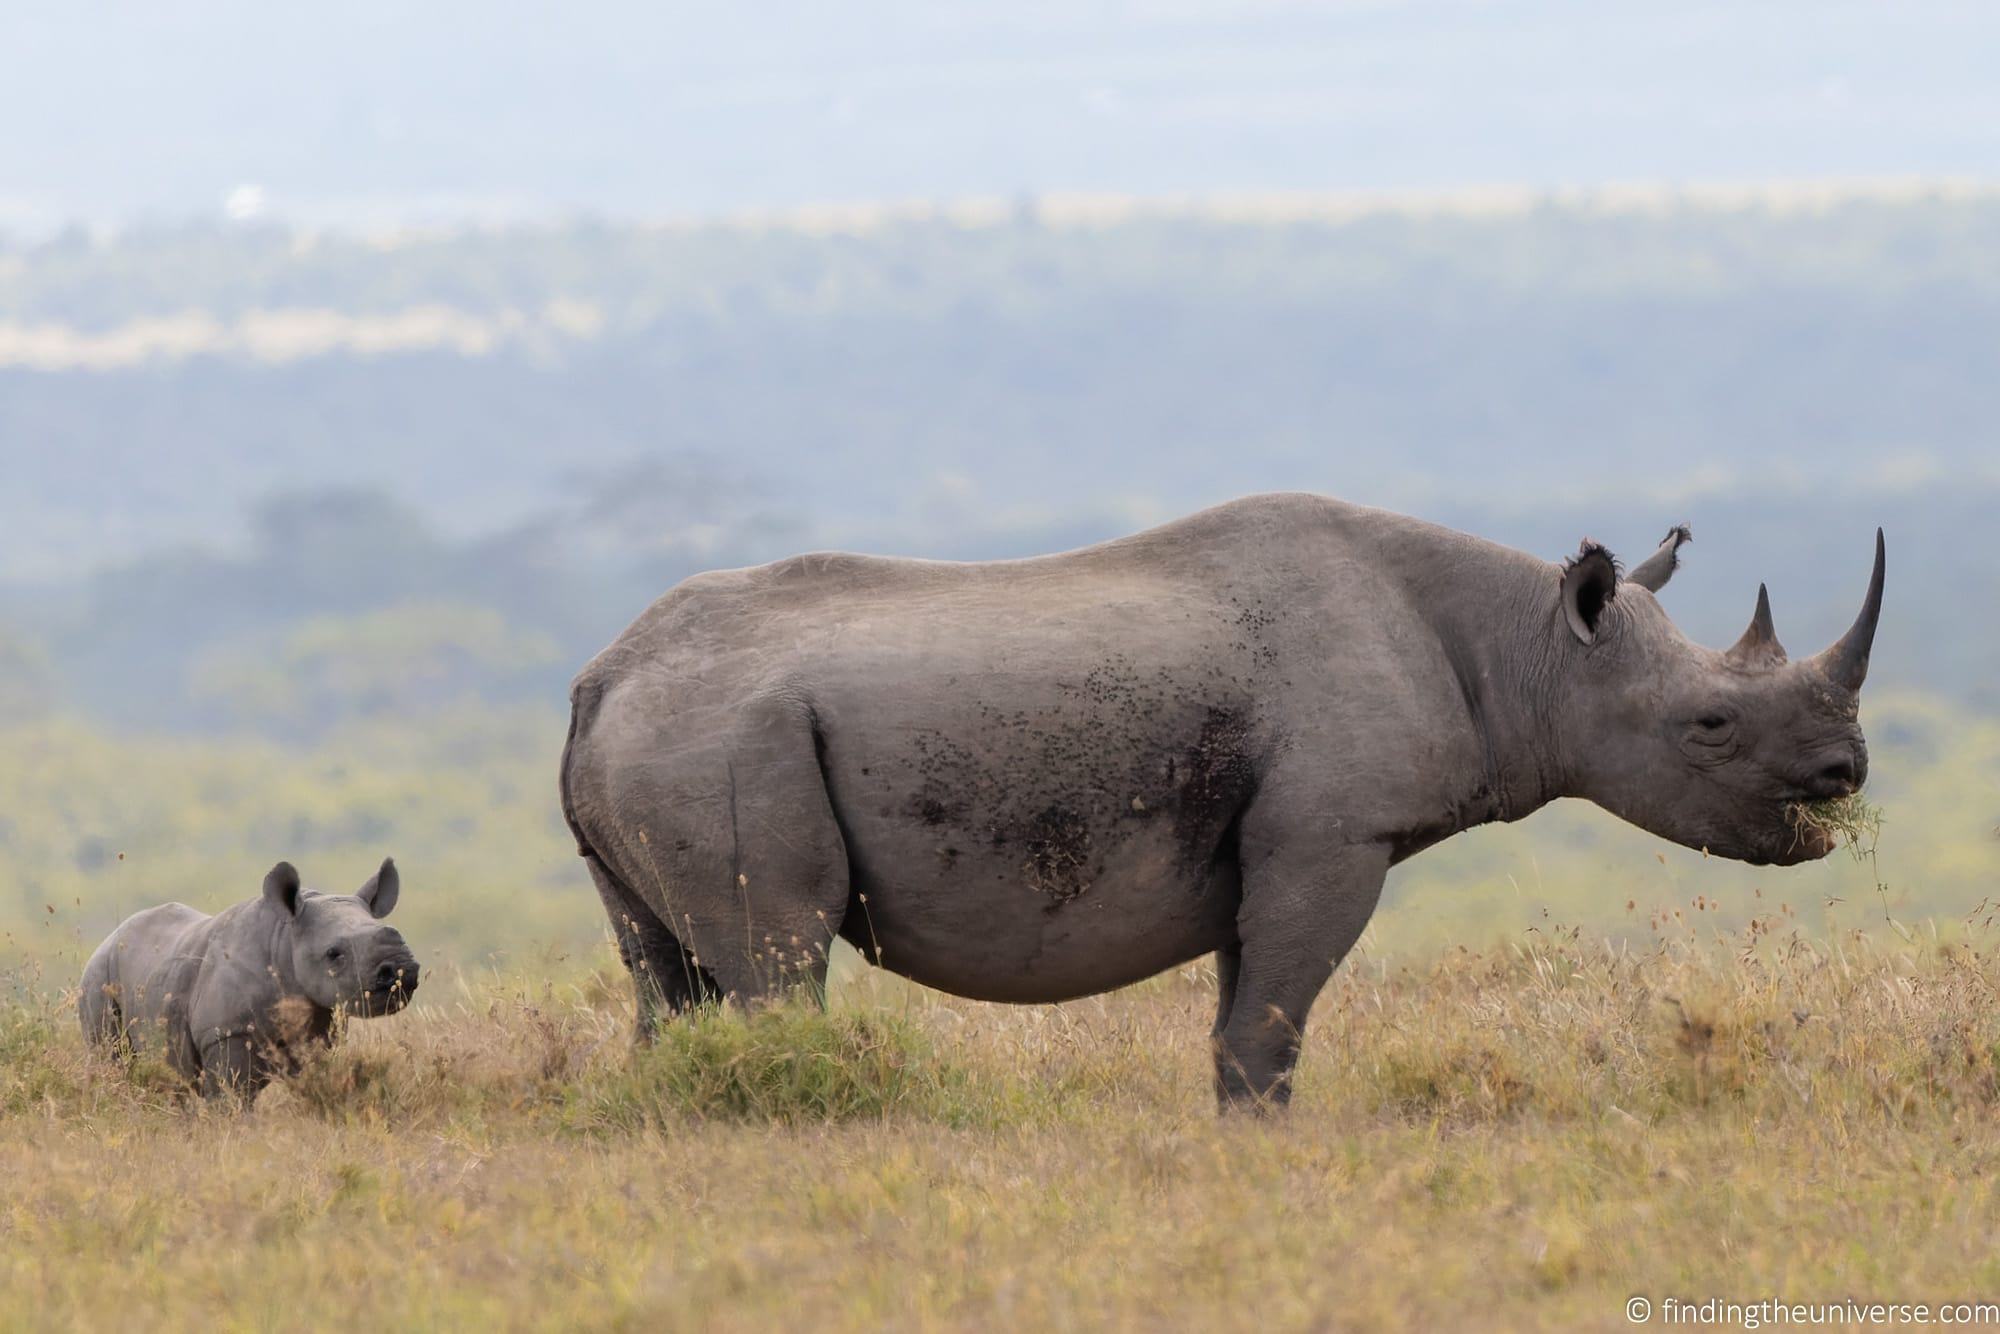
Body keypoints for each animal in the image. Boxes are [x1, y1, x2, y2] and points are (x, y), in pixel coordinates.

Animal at [79, 859, 419, 1101]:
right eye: (334, 954)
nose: (402, 970)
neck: (285, 938)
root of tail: (106, 940)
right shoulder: (226, 1032)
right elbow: (233, 1097)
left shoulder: (320, 1030)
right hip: (98, 977)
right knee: (113, 1057)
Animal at [560, 493, 1884, 1107]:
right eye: (1708, 726)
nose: (1846, 777)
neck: (1531, 649)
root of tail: (598, 675)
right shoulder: (1334, 834)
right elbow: (1271, 1019)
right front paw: (1261, 1149)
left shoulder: (1273, 839)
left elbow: (1243, 1006)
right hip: (721, 735)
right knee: (777, 960)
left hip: (670, 731)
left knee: (662, 972)